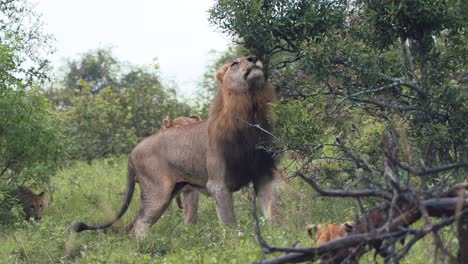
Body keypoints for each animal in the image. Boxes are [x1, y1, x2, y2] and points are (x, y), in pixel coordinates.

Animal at [74, 55, 278, 237]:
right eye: (235, 63)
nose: (254, 58)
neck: (249, 109)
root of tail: (132, 152)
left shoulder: (263, 175)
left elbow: (271, 213)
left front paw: (275, 237)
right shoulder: (218, 184)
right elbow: (230, 226)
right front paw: (237, 245)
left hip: (173, 190)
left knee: (133, 227)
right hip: (158, 191)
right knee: (140, 223)